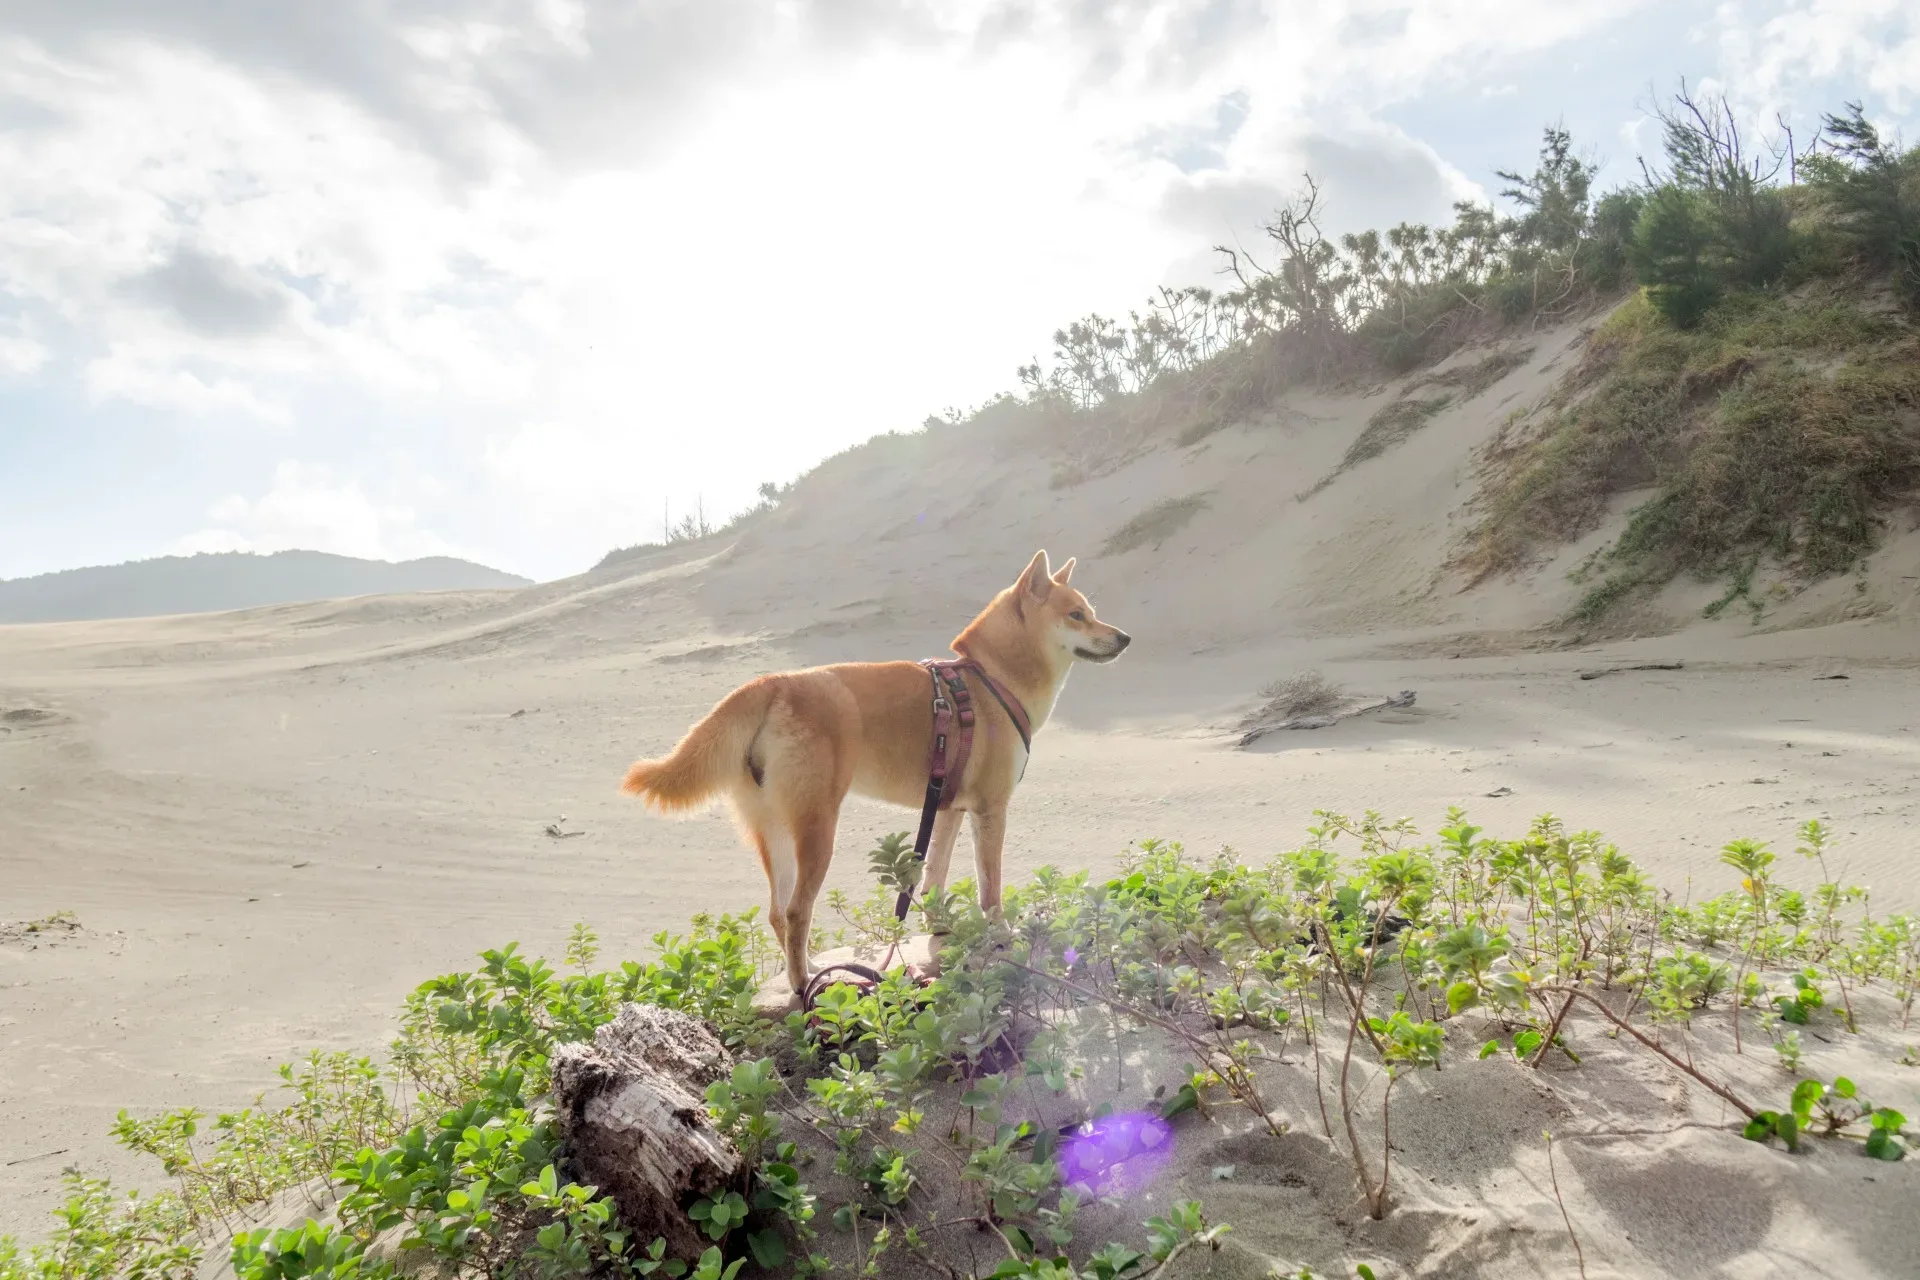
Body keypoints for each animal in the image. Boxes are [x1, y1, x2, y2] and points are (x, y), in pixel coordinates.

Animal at [618, 552, 1121, 990]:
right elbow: (990, 890)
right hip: (818, 830)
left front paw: (941, 931)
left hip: (774, 830)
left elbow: (932, 880)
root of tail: (771, 684)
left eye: (1091, 612)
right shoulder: (990, 810)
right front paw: (998, 936)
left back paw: (812, 967)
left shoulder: (948, 809)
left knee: (778, 913)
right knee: (798, 912)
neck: (990, 679)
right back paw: (803, 984)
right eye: (1076, 615)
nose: (1125, 638)